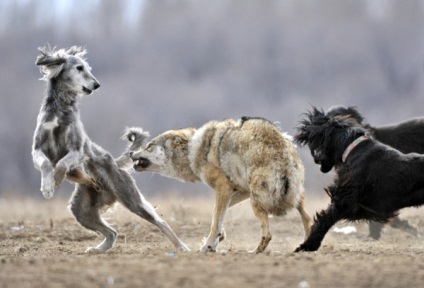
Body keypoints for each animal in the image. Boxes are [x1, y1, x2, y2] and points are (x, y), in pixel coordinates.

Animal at [34, 45, 190, 252]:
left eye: (87, 68)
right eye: (79, 68)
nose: (96, 84)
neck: (61, 110)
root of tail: (115, 164)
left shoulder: (77, 150)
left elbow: (61, 163)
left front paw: (56, 180)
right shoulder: (37, 149)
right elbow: (46, 164)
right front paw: (47, 187)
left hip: (131, 198)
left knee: (161, 223)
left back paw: (182, 247)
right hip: (81, 209)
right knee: (112, 232)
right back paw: (98, 249)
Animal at [119, 117, 312, 252]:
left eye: (149, 146)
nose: (130, 153)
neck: (193, 152)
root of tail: (283, 155)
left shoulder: (223, 187)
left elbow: (215, 219)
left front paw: (208, 246)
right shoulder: (240, 189)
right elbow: (217, 214)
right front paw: (218, 238)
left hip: (256, 202)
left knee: (268, 235)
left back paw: (254, 252)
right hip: (293, 198)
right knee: (308, 218)